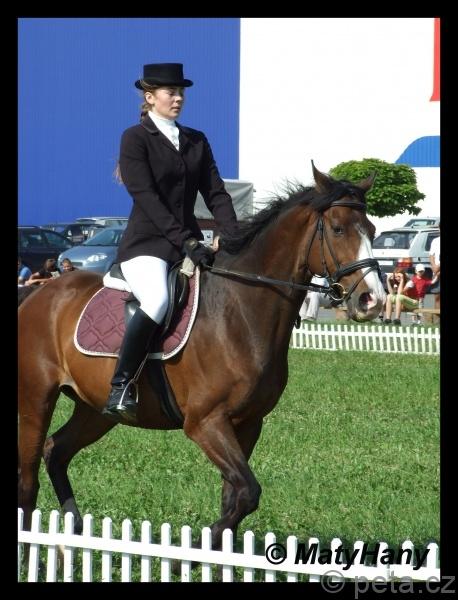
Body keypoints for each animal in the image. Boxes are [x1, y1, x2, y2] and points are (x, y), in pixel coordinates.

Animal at [18, 164, 386, 549]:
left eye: (372, 230)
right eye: (338, 228)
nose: (372, 300)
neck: (240, 311)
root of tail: (39, 294)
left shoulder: (248, 423)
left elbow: (234, 497)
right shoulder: (205, 422)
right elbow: (248, 492)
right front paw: (198, 544)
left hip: (95, 410)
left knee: (56, 451)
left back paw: (73, 532)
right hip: (36, 398)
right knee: (28, 477)